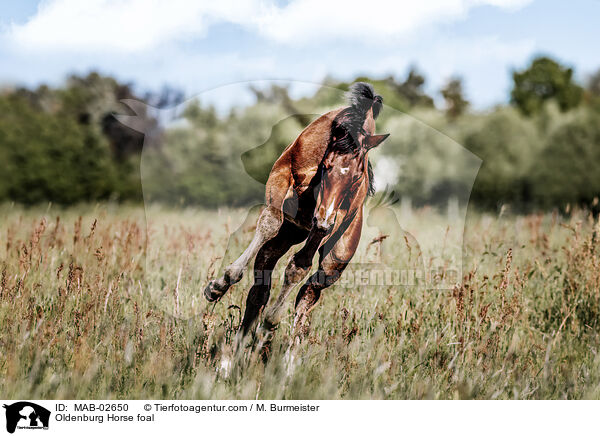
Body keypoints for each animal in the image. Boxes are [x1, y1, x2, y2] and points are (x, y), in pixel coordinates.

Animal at [203, 82, 390, 340]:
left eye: (358, 176)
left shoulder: (333, 217)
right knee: (261, 284)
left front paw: (271, 319)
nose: (322, 221)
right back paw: (242, 341)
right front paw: (219, 284)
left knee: (307, 294)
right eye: (327, 165)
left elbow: (299, 267)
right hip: (287, 234)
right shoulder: (282, 175)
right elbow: (269, 223)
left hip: (333, 261)